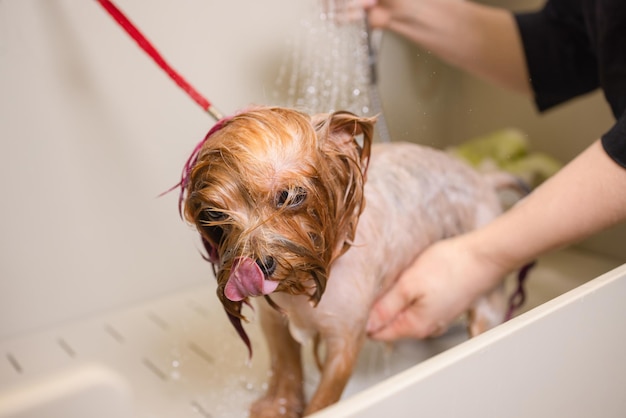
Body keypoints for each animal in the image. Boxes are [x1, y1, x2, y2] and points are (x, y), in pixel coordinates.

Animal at [178, 107, 510, 414]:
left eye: (291, 196)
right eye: (214, 214)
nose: (255, 268)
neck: (308, 278)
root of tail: (482, 178)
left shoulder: (344, 340)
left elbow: (324, 399)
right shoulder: (275, 322)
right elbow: (286, 368)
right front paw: (278, 407)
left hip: (485, 297)